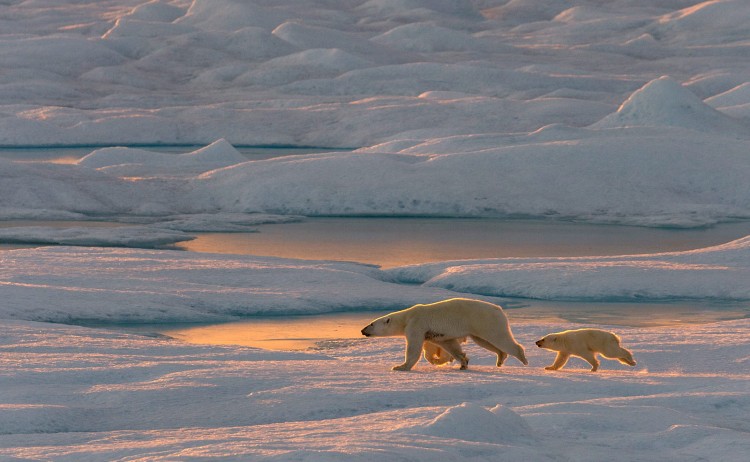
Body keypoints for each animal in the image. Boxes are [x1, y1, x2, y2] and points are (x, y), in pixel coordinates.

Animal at [361, 298, 528, 371]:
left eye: (371, 324)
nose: (362, 330)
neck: (407, 317)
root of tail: (499, 308)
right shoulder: (437, 334)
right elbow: (450, 345)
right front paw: (463, 362)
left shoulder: (416, 325)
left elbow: (413, 347)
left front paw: (400, 366)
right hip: (479, 326)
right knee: (485, 341)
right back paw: (500, 358)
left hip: (485, 320)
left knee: (499, 338)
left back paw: (522, 358)